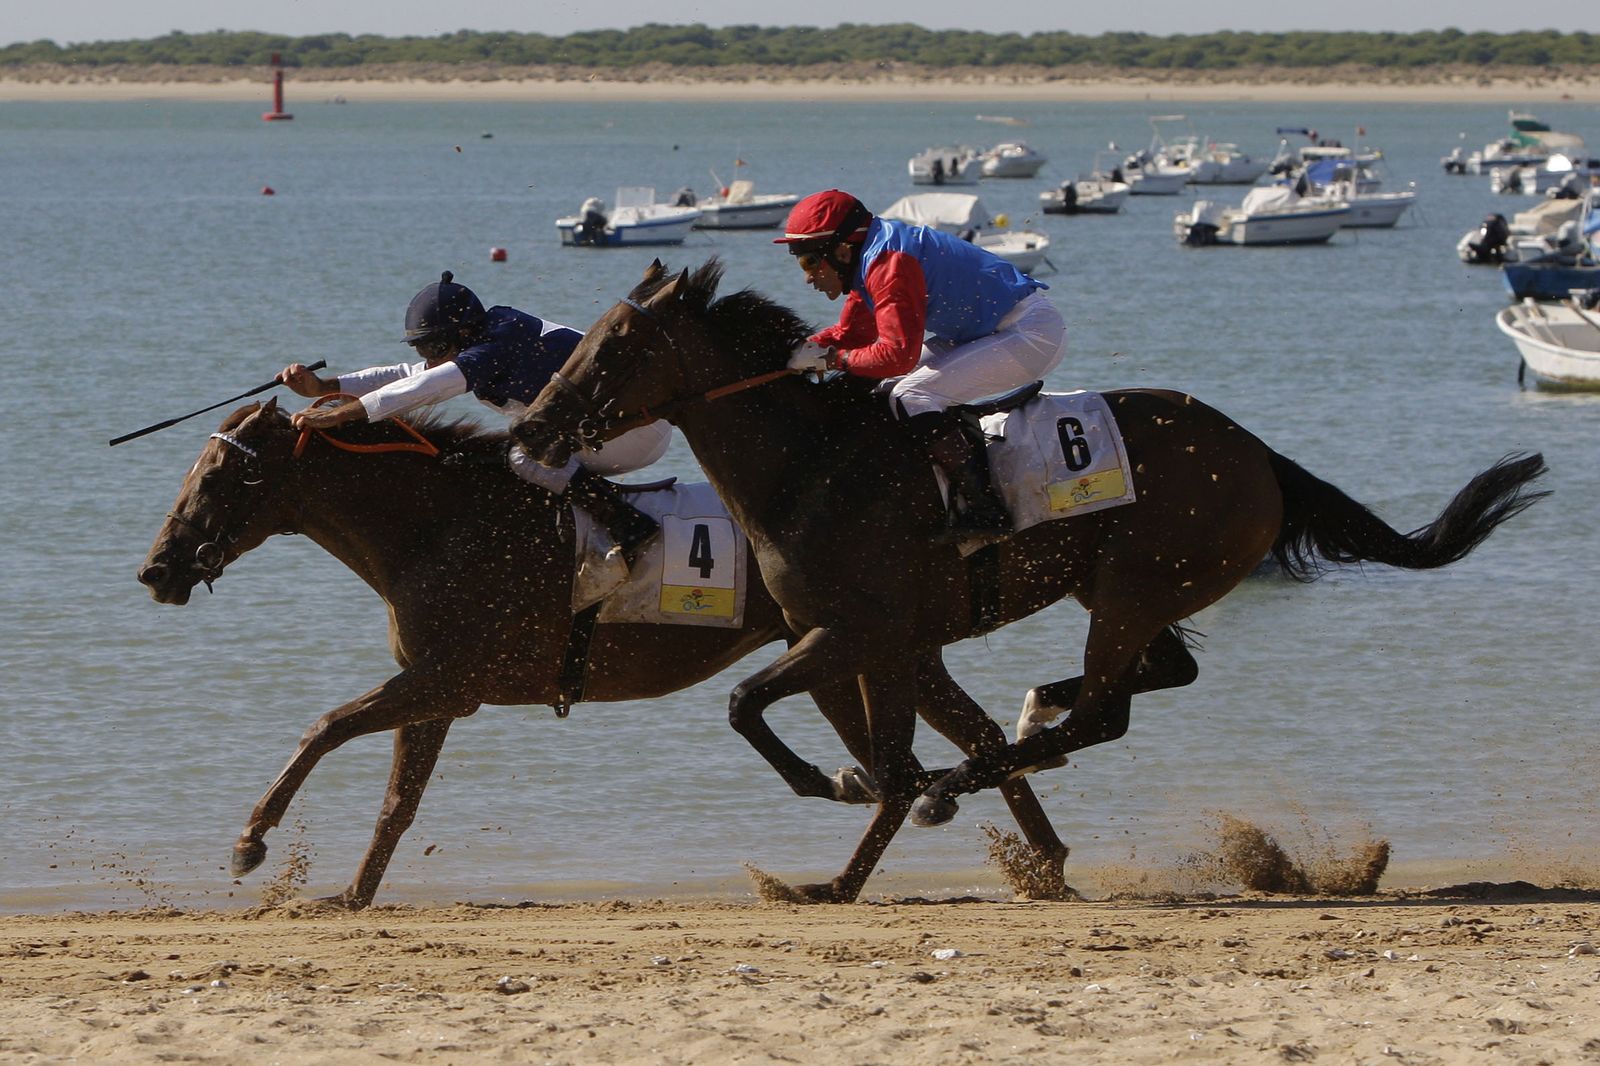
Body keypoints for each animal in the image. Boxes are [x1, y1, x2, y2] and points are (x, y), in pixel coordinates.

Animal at [136, 399, 1068, 909]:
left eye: (217, 478)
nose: (156, 568)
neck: (436, 522)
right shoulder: (439, 688)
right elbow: (398, 801)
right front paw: (353, 892)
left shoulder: (447, 677)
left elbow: (325, 727)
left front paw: (252, 843)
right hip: (854, 660)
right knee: (957, 743)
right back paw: (1041, 866)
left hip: (873, 652)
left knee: (944, 748)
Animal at [509, 257, 1549, 902]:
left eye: (613, 346)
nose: (532, 427)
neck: (811, 466)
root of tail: (1257, 454)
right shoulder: (872, 643)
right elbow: (869, 752)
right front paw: (840, 874)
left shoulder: (858, 632)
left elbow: (759, 711)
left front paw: (845, 799)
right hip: (1127, 589)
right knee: (1146, 681)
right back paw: (1027, 718)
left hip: (1136, 584)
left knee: (1103, 712)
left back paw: (990, 759)